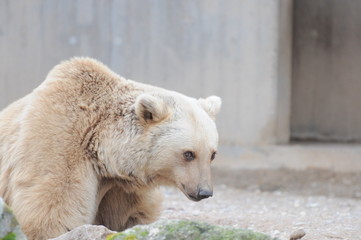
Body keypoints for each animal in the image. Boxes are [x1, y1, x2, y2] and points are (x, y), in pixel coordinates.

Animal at [0, 56, 219, 240]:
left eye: (212, 154)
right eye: (188, 153)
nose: (204, 192)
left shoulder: (120, 188)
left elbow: (130, 215)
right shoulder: (58, 140)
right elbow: (51, 207)